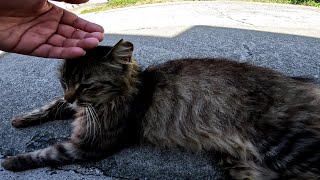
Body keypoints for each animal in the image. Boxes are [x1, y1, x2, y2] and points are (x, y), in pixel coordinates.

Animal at [1, 39, 318, 180]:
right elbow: (52, 106)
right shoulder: (76, 110)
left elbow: (46, 153)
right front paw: (21, 119)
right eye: (64, 81)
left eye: (87, 85)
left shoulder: (88, 145)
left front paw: (11, 162)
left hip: (286, 147)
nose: (72, 98)